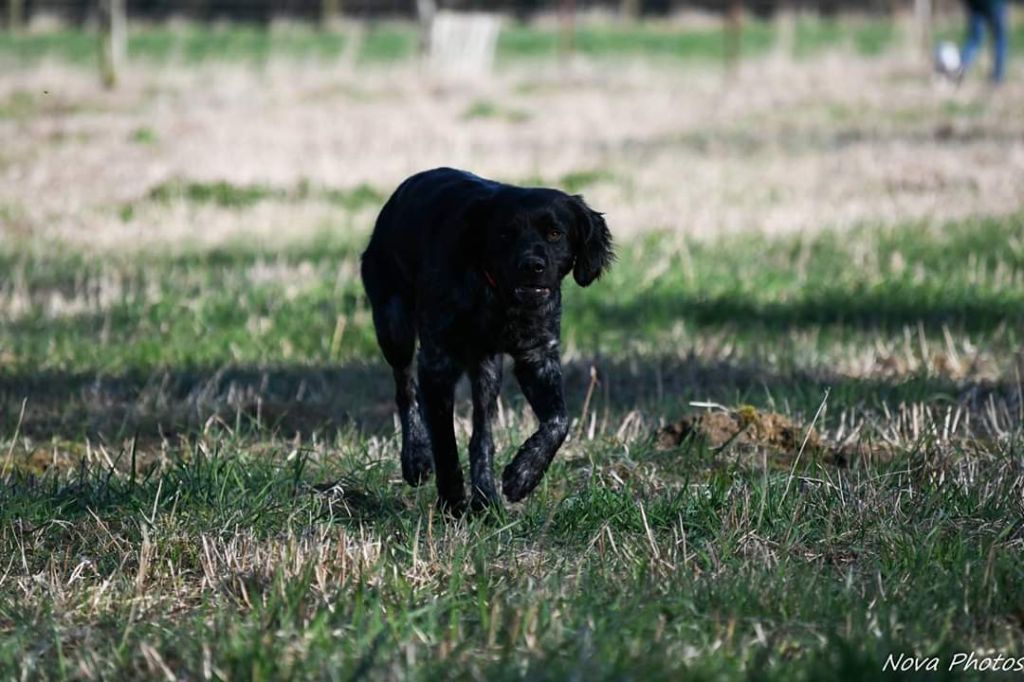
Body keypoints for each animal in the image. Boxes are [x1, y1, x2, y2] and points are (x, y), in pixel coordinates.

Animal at [362, 168, 610, 509]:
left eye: (555, 233)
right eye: (506, 234)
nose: (532, 266)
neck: (498, 298)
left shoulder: (538, 358)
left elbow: (559, 421)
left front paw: (523, 474)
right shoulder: (437, 364)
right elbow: (445, 444)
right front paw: (453, 502)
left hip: (487, 371)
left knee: (482, 435)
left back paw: (485, 497)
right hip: (394, 326)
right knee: (405, 388)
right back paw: (416, 457)